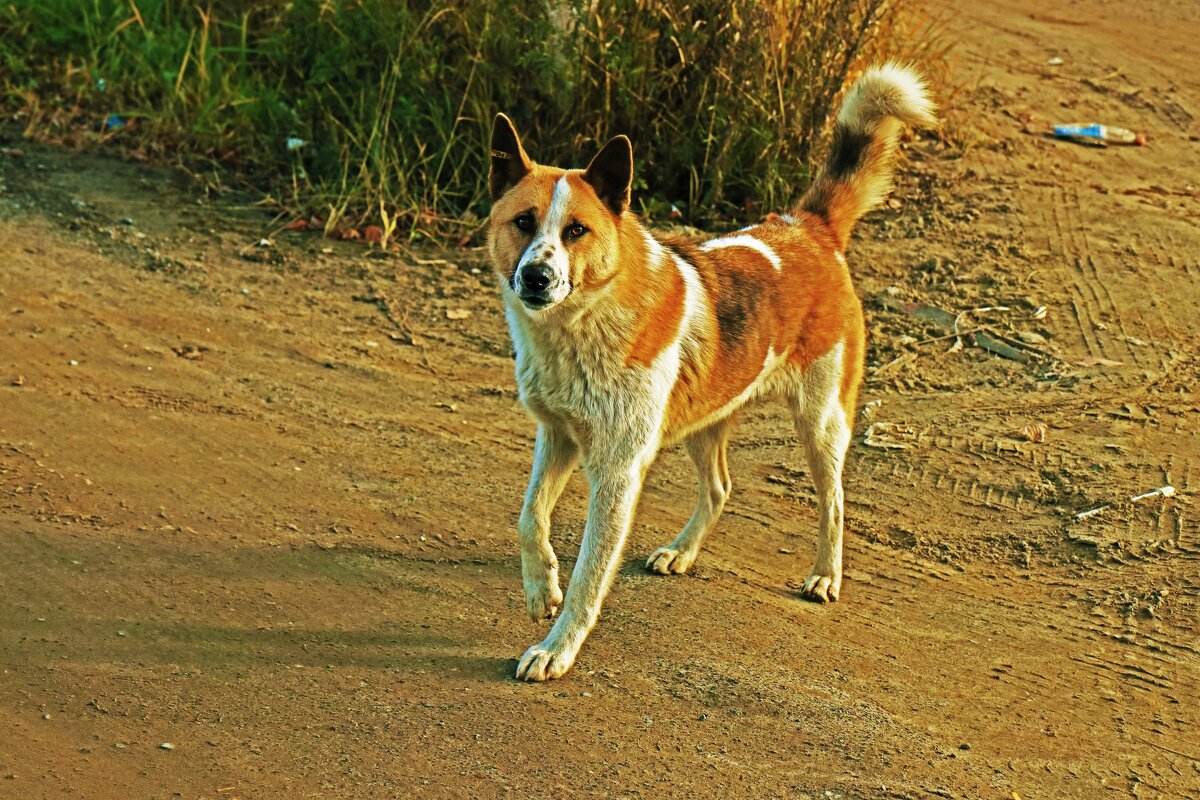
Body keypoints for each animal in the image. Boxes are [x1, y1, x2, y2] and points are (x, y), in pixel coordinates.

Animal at [487, 61, 936, 681]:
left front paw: (558, 648)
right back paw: (682, 552)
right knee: (721, 487)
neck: (583, 324)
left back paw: (826, 575)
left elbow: (589, 577)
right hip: (706, 419)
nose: (536, 277)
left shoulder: (618, 471)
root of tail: (808, 226)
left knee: (835, 501)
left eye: (576, 230)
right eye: (523, 222)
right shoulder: (558, 435)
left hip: (821, 423)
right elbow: (529, 518)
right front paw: (540, 589)